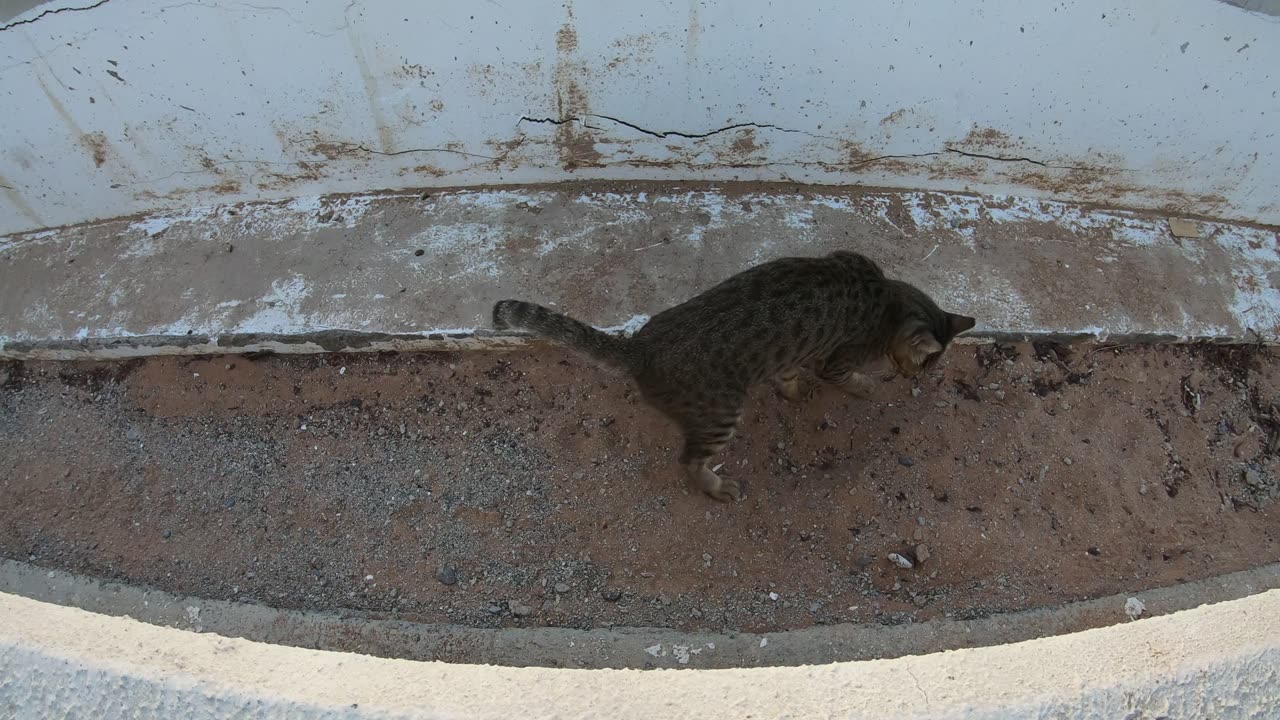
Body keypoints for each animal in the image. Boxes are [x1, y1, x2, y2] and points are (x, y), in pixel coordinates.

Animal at [494, 249, 972, 502]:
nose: (920, 379)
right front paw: (868, 386)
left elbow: (788, 373)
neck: (887, 297)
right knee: (689, 460)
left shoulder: (795, 353)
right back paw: (717, 487)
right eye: (925, 364)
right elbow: (848, 378)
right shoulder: (834, 361)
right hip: (720, 414)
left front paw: (792, 391)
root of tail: (640, 347)